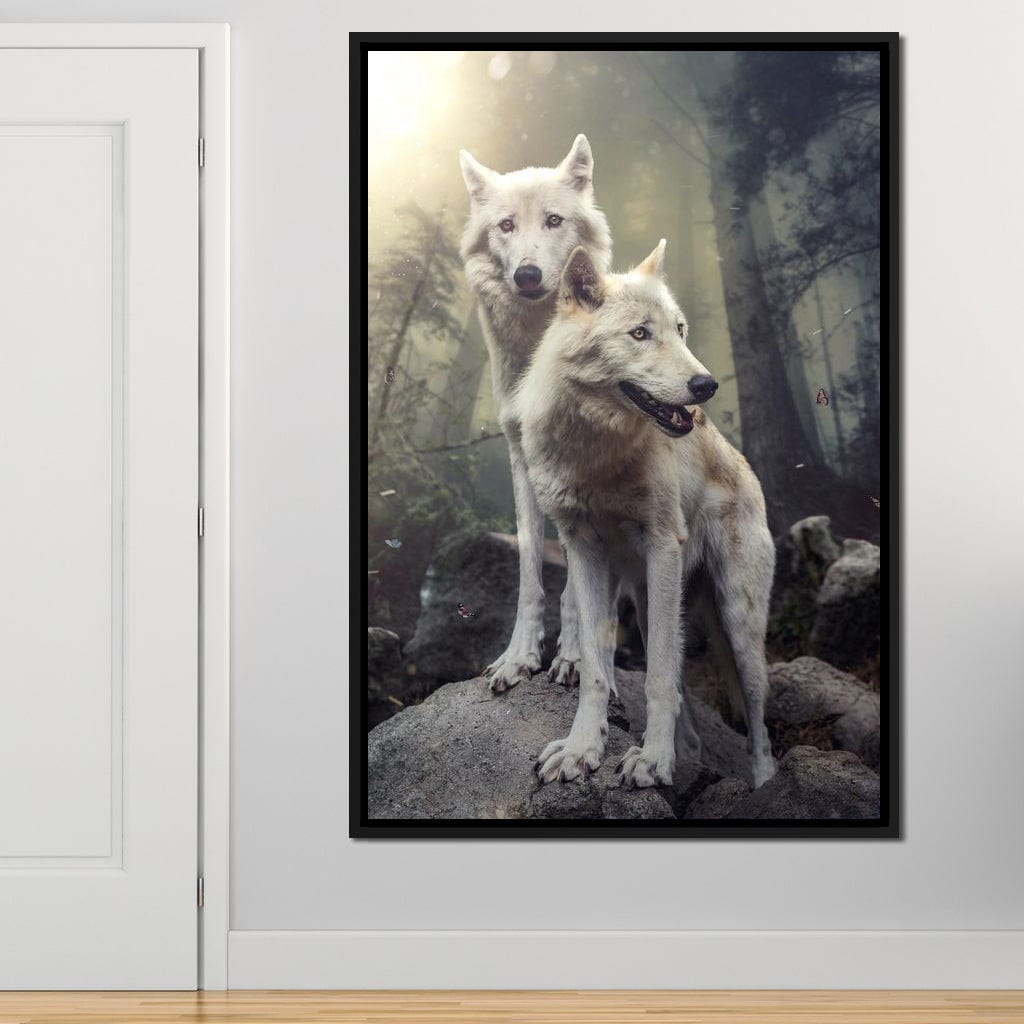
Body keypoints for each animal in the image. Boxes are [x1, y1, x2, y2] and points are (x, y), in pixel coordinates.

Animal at [459, 135, 612, 693]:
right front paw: (517, 657)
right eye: (506, 225)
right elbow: (529, 570)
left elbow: (577, 583)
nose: (527, 275)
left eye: (553, 220)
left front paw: (574, 657)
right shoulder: (521, 458)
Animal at [513, 240, 777, 789]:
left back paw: (764, 784)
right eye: (640, 334)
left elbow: (656, 676)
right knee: (683, 698)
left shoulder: (661, 547)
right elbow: (596, 668)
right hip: (652, 598)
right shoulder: (582, 552)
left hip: (738, 624)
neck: (596, 454)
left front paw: (653, 761)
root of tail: (744, 465)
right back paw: (688, 754)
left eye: (680, 330)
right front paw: (582, 749)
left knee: (758, 724)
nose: (706, 385)